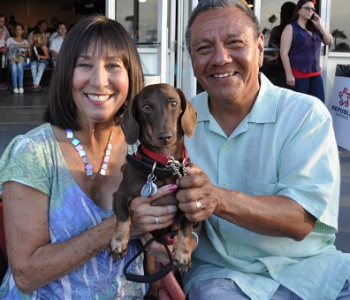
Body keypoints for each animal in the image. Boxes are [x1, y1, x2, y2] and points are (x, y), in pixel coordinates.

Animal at [108, 83, 198, 298]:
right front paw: (118, 242)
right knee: (152, 274)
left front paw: (182, 255)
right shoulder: (120, 195)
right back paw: (152, 293)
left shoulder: (188, 202)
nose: (165, 136)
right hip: (148, 253)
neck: (164, 164)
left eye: (173, 103)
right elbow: (123, 216)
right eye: (146, 107)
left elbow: (185, 229)